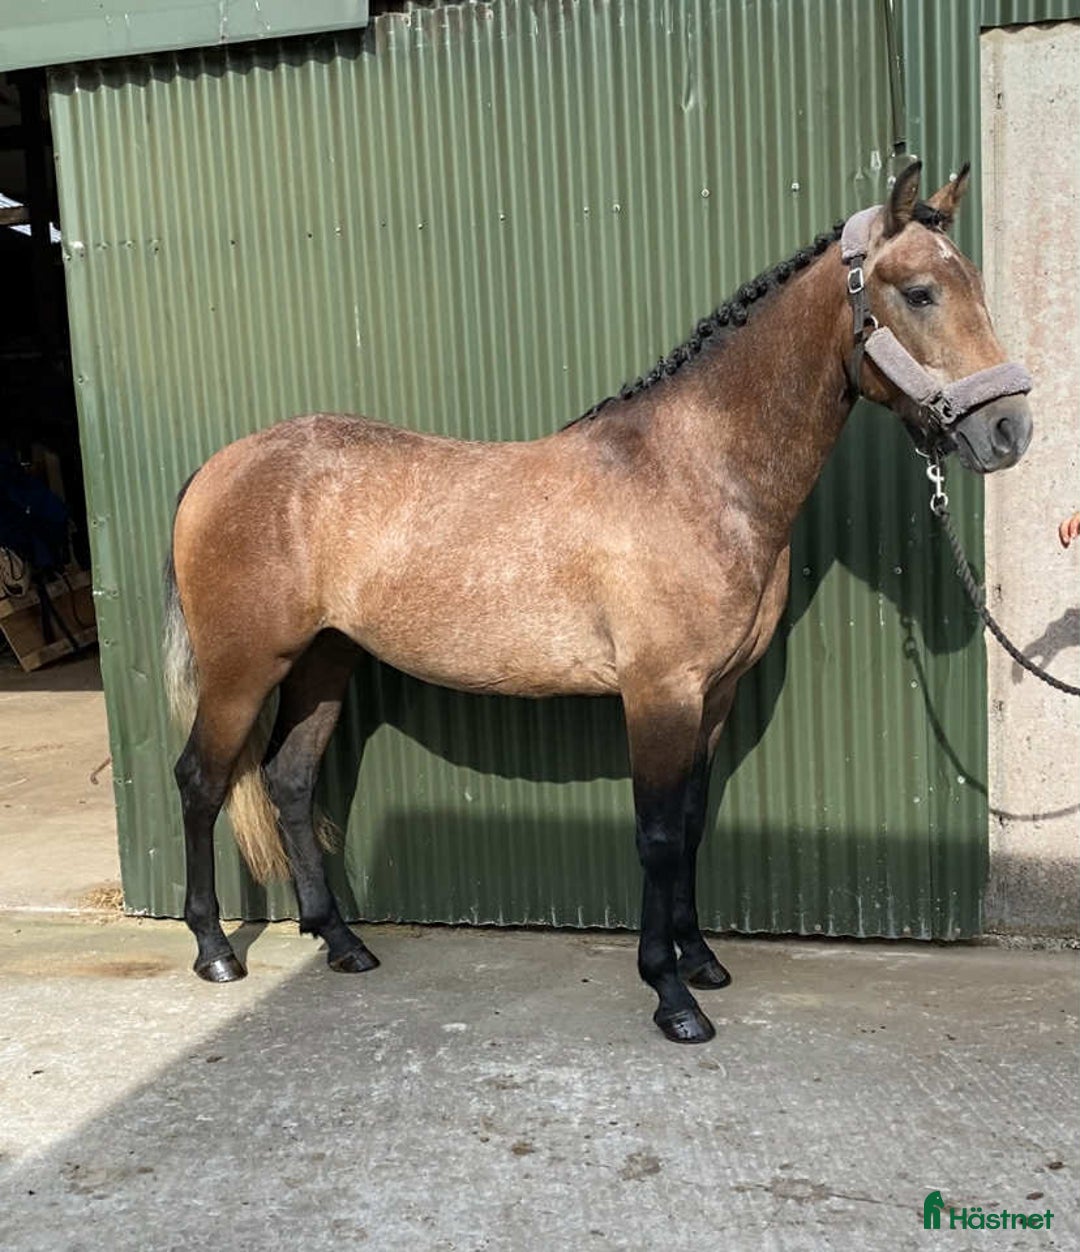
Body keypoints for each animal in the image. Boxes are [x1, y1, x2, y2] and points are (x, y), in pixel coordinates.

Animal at [163, 162, 1033, 1044]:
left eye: (973, 283)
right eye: (920, 292)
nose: (1009, 430)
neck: (697, 473)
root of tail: (218, 468)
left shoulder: (714, 696)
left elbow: (691, 826)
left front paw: (701, 961)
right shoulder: (658, 693)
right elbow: (657, 835)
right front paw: (671, 995)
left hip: (324, 662)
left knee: (289, 782)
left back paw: (341, 941)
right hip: (243, 671)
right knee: (200, 780)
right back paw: (214, 950)